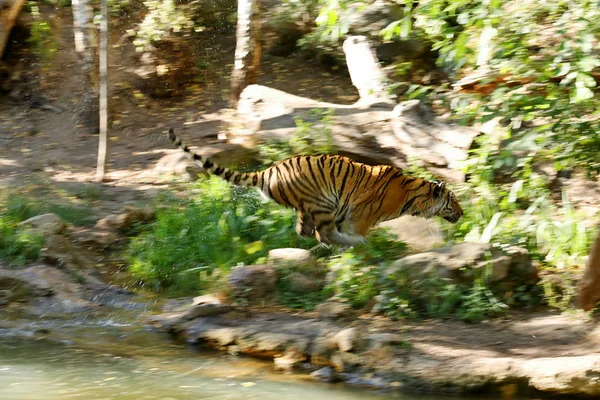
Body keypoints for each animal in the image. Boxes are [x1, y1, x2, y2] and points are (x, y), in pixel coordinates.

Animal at [168, 128, 464, 247]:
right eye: (453, 201)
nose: (462, 214)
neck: (413, 198)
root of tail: (268, 171)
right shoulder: (360, 216)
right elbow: (358, 232)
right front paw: (363, 245)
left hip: (309, 207)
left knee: (307, 232)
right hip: (323, 201)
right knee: (324, 234)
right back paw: (350, 244)